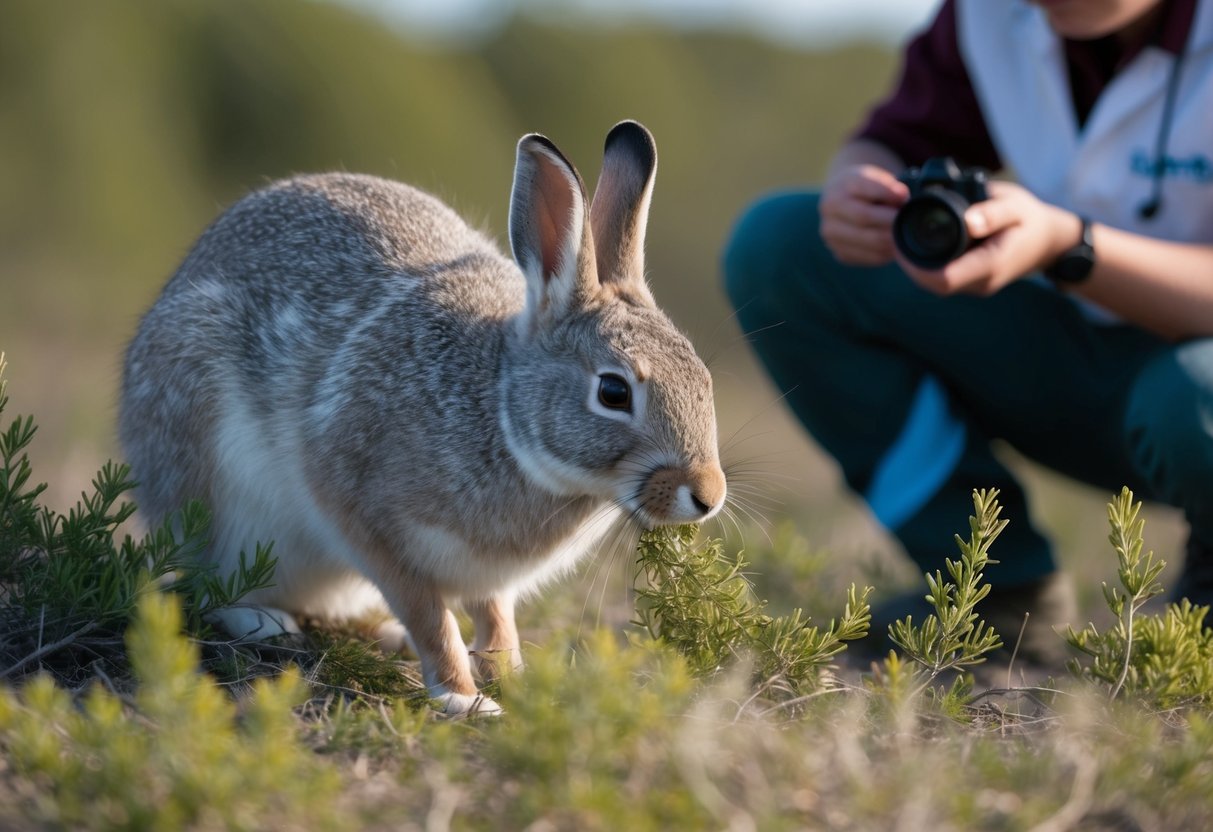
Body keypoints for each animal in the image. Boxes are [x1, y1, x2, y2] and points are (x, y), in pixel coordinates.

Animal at [119, 120, 727, 715]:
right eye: (614, 391)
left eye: (703, 379)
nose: (709, 496)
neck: (502, 416)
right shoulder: (366, 517)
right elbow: (429, 615)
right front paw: (464, 697)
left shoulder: (488, 579)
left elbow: (495, 618)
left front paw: (512, 675)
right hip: (204, 481)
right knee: (206, 580)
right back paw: (261, 618)